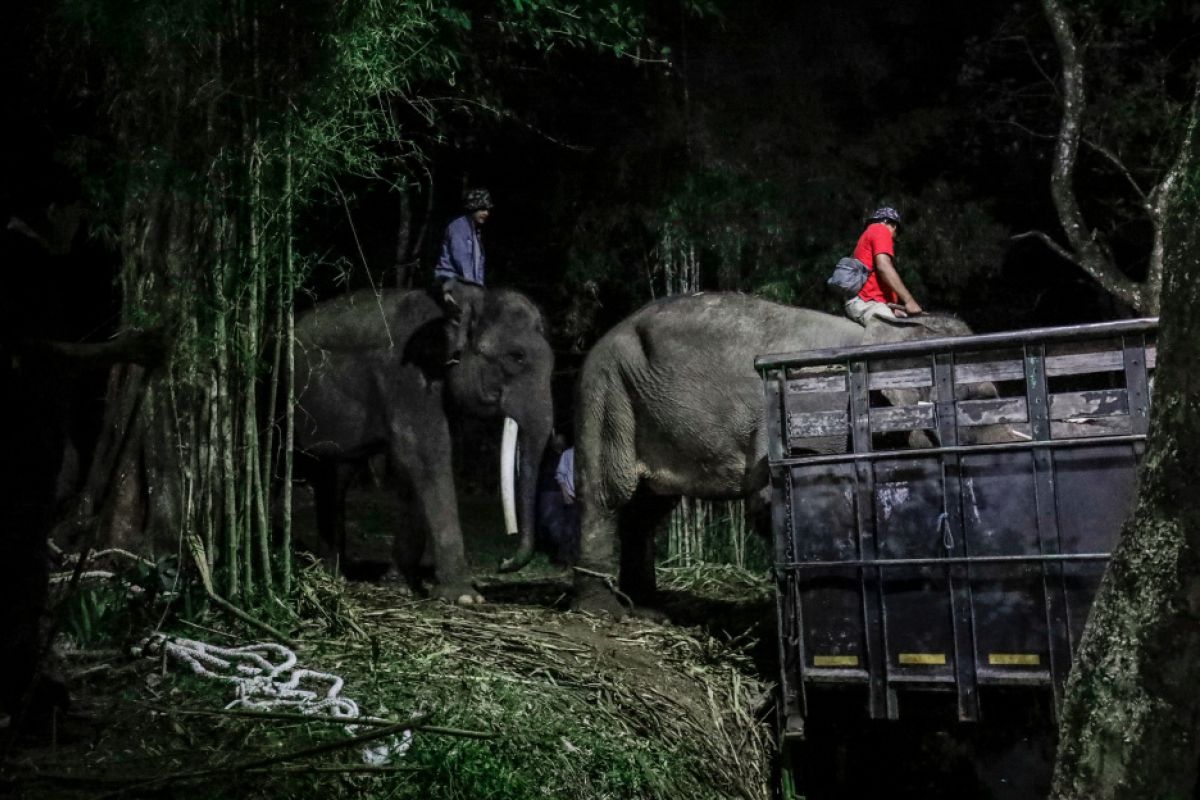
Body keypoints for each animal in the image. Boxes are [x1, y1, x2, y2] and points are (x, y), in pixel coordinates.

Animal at [292, 284, 554, 604]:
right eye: (516, 357)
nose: (502, 563)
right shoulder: (406, 374)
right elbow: (425, 451)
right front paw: (464, 597)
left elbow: (408, 464)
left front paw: (398, 584)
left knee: (335, 474)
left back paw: (330, 573)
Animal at [571, 293, 993, 618]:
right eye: (980, 399)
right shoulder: (819, 414)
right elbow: (774, 503)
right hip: (607, 391)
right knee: (608, 494)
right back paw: (601, 610)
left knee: (646, 509)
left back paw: (646, 607)